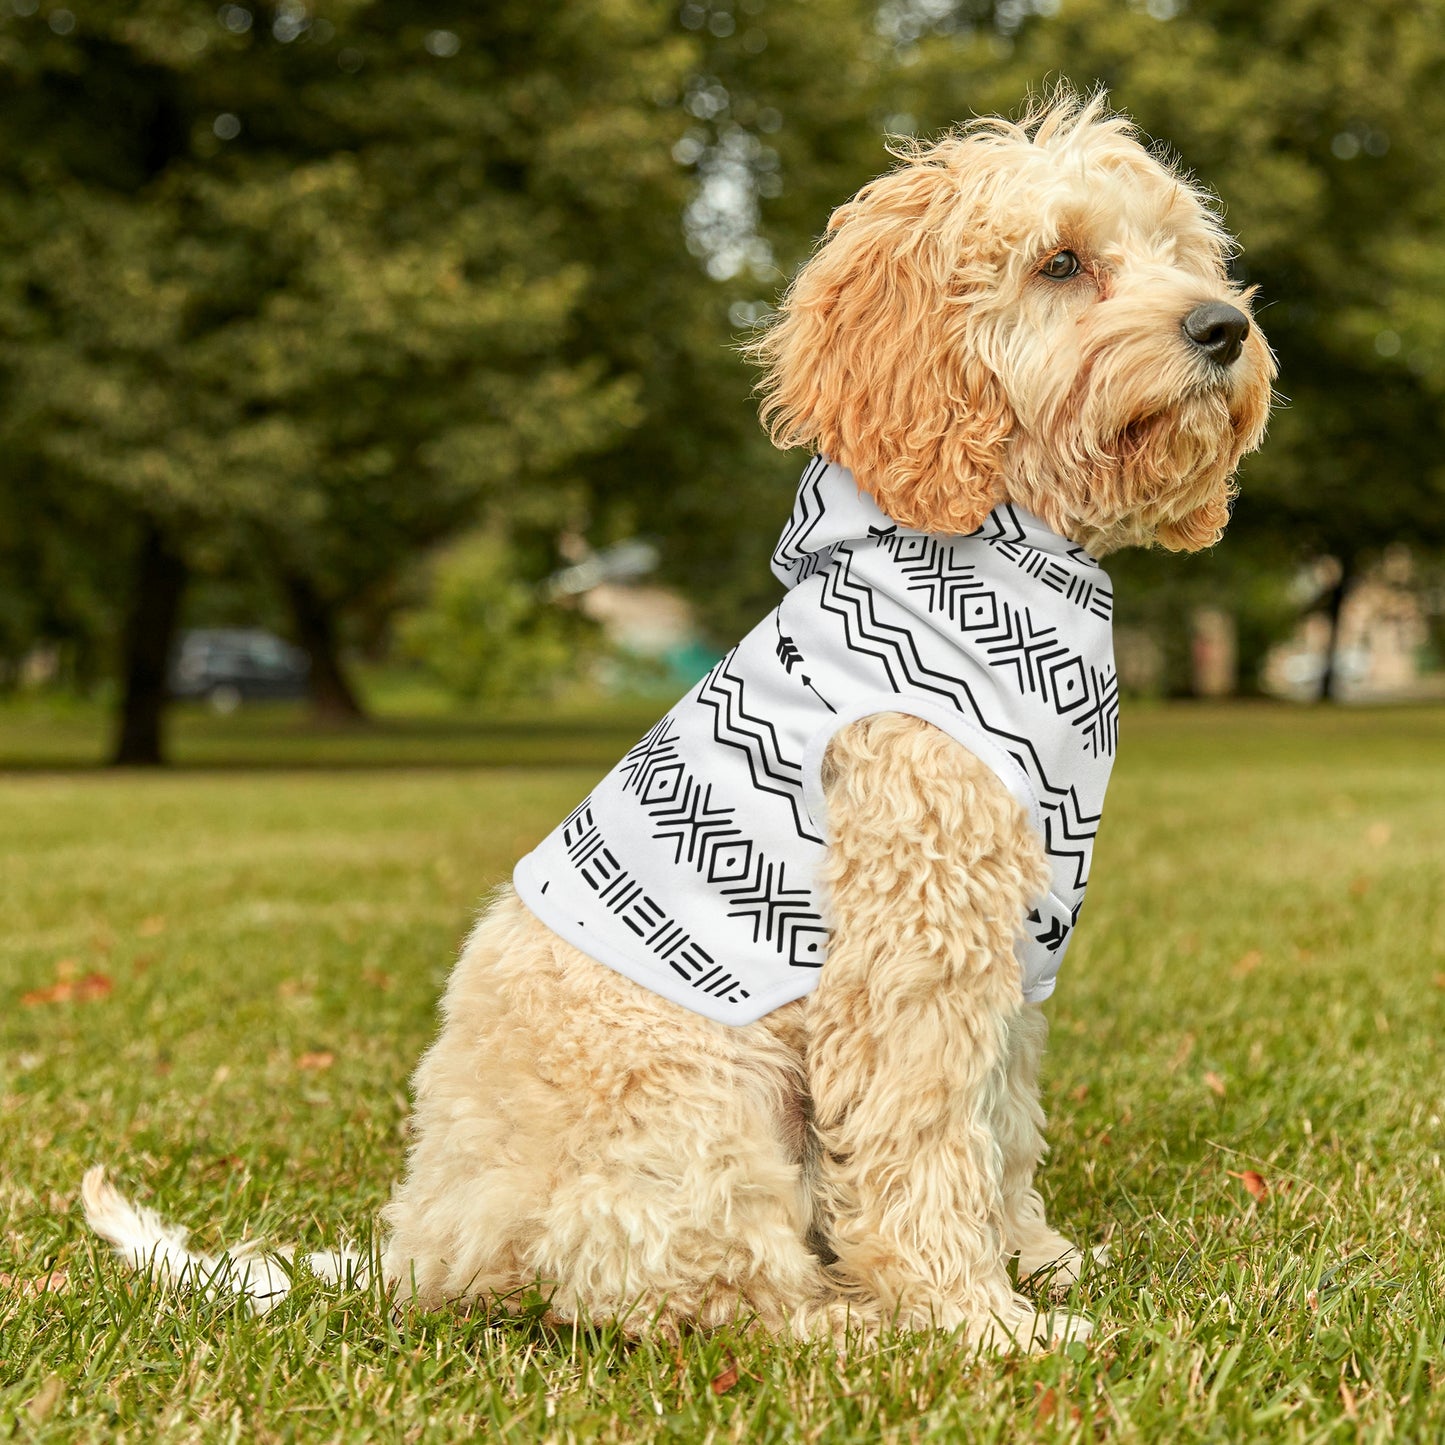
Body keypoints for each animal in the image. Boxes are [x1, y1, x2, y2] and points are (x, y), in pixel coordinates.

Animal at [84, 93, 1271, 1352]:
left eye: (1180, 252)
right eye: (1059, 262)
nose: (1222, 327)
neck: (1003, 555)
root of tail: (423, 1246)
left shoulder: (1010, 946)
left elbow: (999, 1123)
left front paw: (1035, 1259)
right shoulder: (910, 946)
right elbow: (923, 1141)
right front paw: (977, 1319)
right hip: (703, 1102)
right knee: (700, 1291)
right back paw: (852, 1322)